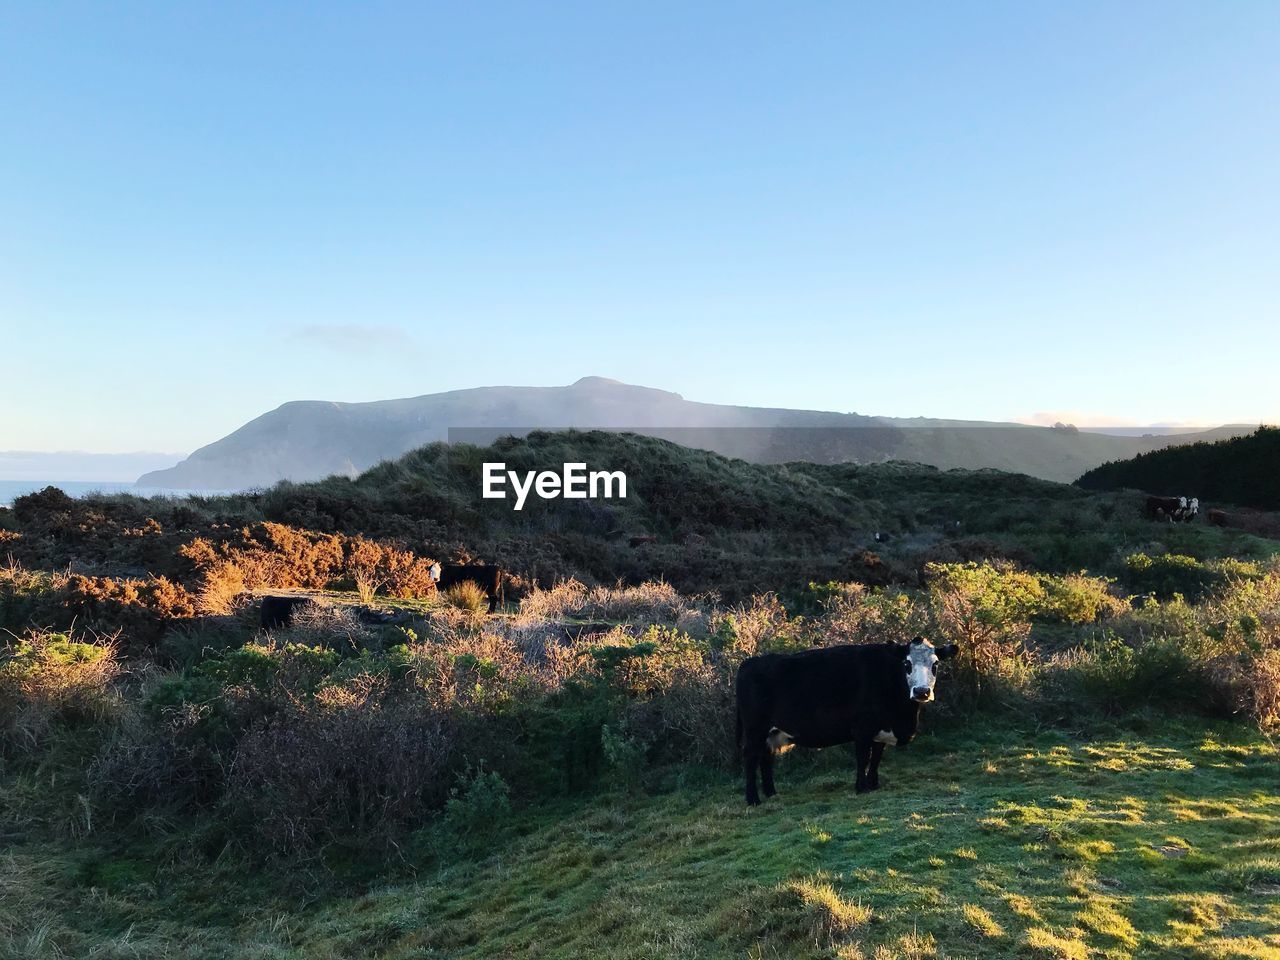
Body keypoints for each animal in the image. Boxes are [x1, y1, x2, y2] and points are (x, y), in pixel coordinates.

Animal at [737, 640, 957, 803]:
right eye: (907, 664)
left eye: (935, 664)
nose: (922, 692)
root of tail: (750, 662)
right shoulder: (862, 729)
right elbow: (863, 758)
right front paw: (862, 788)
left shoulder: (881, 729)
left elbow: (876, 758)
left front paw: (874, 784)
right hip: (755, 729)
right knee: (750, 758)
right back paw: (753, 799)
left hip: (771, 732)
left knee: (766, 758)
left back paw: (771, 793)